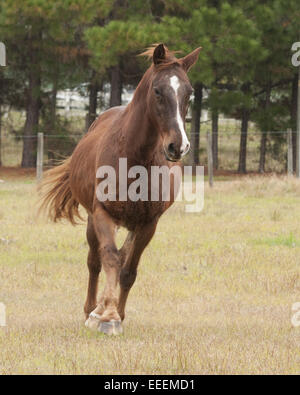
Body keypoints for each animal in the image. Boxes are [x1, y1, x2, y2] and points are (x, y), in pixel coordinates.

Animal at [39, 44, 199, 338]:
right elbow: (109, 259)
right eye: (158, 91)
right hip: (93, 221)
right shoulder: (103, 214)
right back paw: (91, 309)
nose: (178, 146)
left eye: (189, 92)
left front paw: (116, 314)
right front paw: (105, 315)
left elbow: (128, 270)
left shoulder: (148, 224)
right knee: (95, 261)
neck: (136, 159)